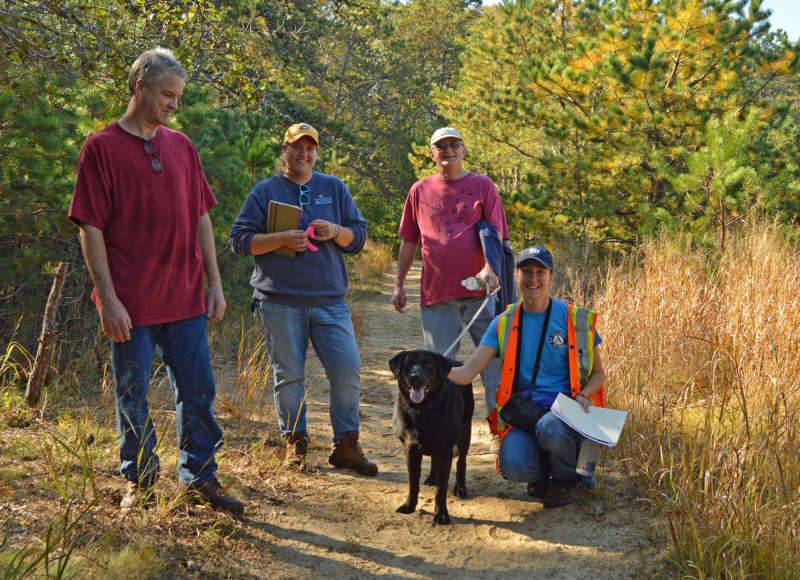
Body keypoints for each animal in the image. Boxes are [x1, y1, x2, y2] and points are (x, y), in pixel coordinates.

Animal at [390, 348, 472, 524]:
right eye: (408, 365)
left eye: (428, 365)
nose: (415, 377)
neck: (422, 410)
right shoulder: (411, 450)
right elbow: (413, 483)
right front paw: (409, 505)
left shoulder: (445, 450)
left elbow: (441, 490)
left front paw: (441, 514)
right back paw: (432, 478)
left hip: (465, 431)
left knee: (461, 462)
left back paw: (460, 488)